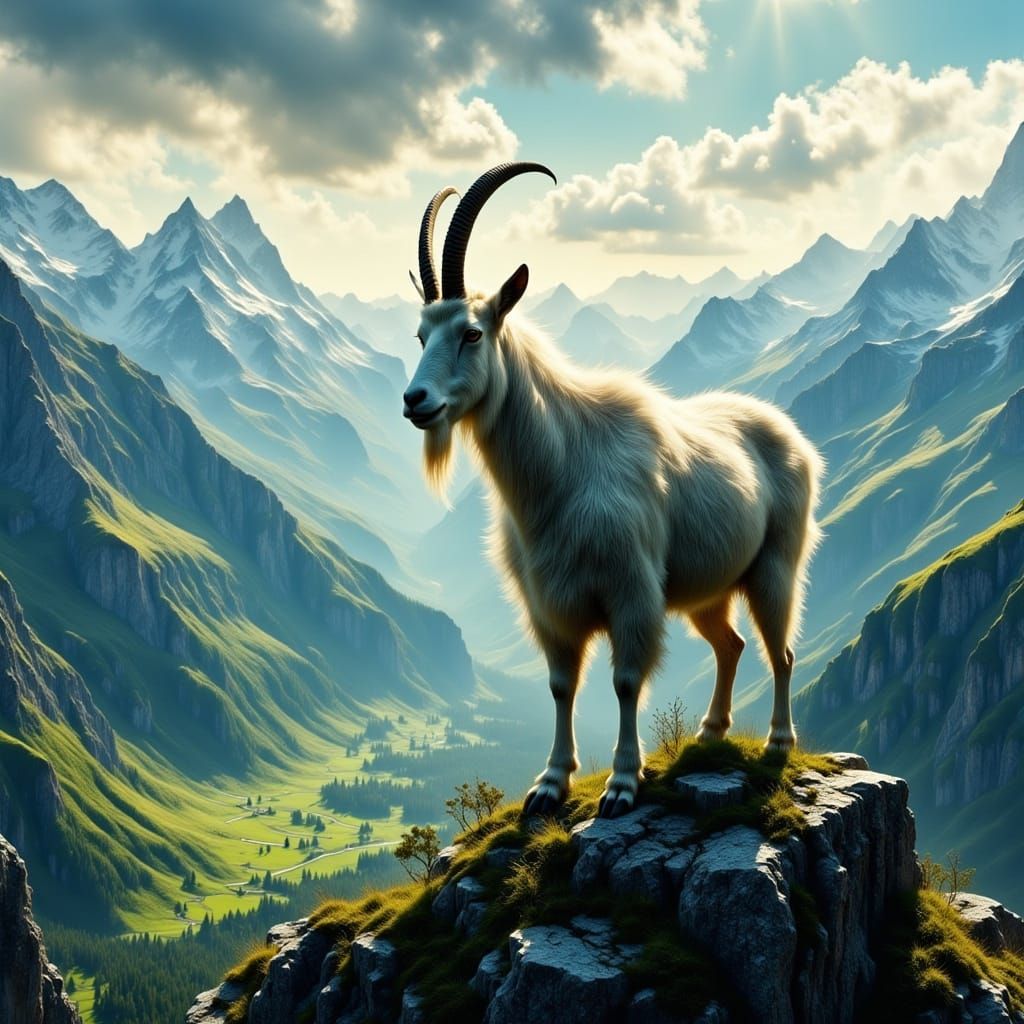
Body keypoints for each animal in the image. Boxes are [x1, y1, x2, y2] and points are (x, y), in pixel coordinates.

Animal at [404, 163, 824, 818]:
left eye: (472, 333)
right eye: (421, 334)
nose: (415, 401)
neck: (562, 466)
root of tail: (795, 439)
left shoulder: (632, 592)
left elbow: (626, 681)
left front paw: (623, 782)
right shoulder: (548, 602)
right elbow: (561, 684)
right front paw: (551, 782)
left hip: (776, 566)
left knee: (780, 651)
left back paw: (779, 741)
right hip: (709, 589)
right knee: (729, 645)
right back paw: (711, 730)